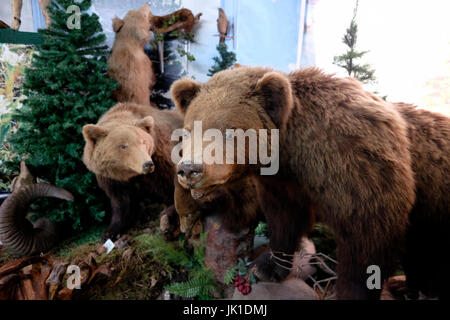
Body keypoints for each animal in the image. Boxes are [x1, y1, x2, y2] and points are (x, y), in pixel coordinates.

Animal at [82, 102, 183, 240]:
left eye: (143, 141)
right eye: (123, 146)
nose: (147, 164)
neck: (131, 174)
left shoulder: (159, 158)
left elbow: (170, 183)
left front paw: (170, 214)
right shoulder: (112, 178)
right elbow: (122, 203)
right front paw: (110, 231)